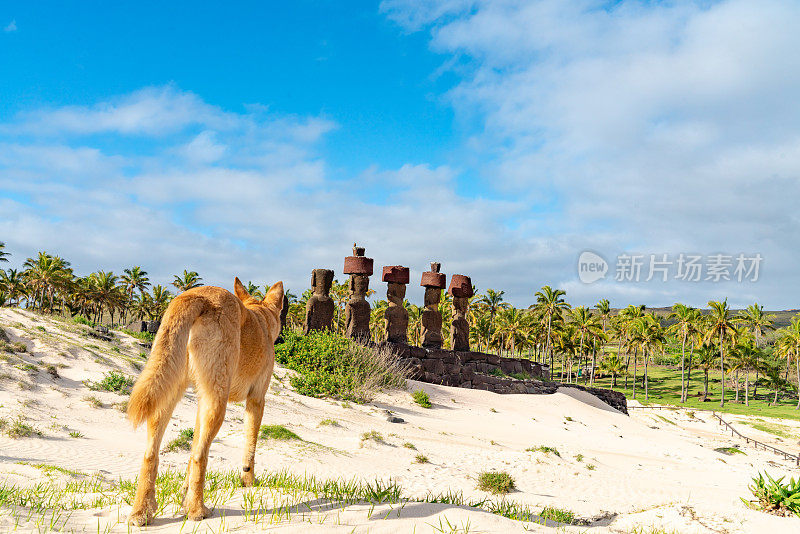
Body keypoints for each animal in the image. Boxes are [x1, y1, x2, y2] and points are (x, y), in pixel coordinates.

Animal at [127, 280, 284, 528]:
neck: (261, 316)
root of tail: (197, 295)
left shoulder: (202, 401)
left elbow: (191, 453)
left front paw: (185, 493)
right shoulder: (257, 400)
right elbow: (250, 447)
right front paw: (248, 479)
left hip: (169, 391)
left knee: (151, 454)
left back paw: (142, 511)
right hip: (218, 404)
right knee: (200, 456)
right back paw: (197, 510)